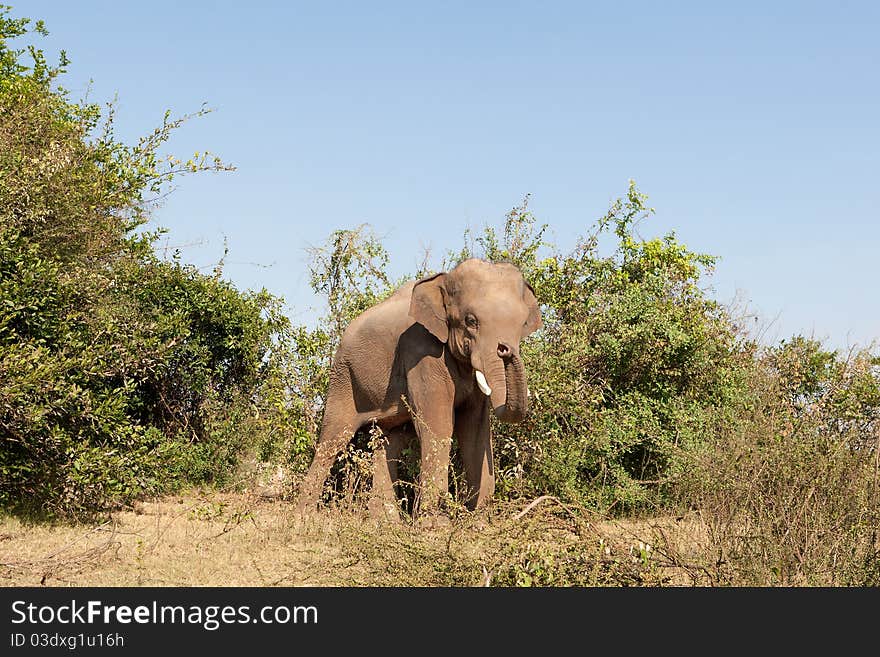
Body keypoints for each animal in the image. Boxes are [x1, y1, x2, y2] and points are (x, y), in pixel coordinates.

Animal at [298, 256, 544, 516]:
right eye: (471, 321)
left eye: (522, 323)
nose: (504, 349)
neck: (444, 279)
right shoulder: (421, 350)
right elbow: (439, 424)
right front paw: (435, 521)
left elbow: (475, 428)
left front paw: (479, 519)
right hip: (344, 376)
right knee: (333, 439)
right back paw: (303, 518)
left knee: (389, 441)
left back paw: (385, 521)